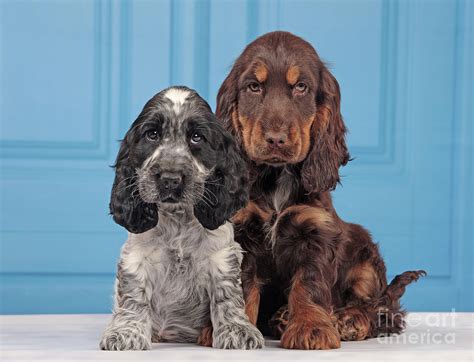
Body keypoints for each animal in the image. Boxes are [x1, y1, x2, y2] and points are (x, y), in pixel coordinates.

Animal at [98, 85, 264, 350]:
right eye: (152, 134)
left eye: (197, 137)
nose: (170, 179)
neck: (177, 219)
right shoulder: (136, 256)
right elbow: (134, 296)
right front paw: (126, 333)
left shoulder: (222, 254)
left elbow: (227, 295)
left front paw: (238, 331)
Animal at [215, 32, 426, 350]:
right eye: (254, 86)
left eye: (301, 87)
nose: (276, 139)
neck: (276, 177)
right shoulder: (243, 232)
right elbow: (242, 284)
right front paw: (234, 330)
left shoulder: (316, 230)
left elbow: (309, 283)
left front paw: (311, 328)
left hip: (364, 255)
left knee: (382, 308)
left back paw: (349, 319)